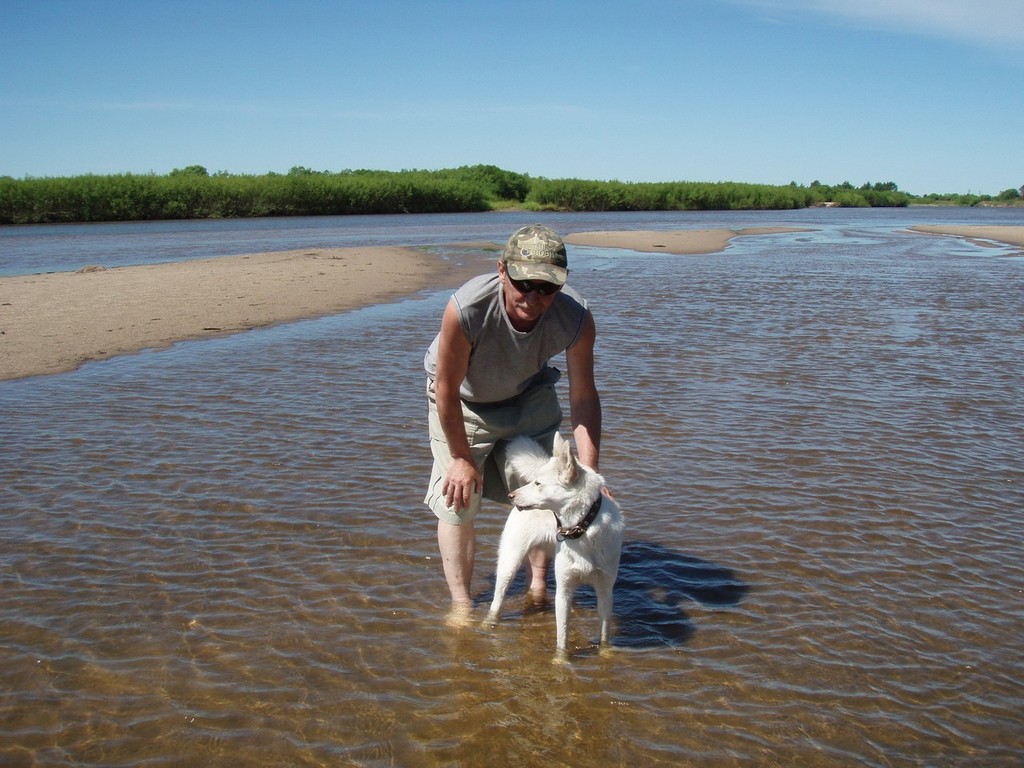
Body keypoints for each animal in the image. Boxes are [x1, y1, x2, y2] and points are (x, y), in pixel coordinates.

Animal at [485, 436, 622, 651]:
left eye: (538, 483)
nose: (511, 496)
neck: (582, 530)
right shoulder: (564, 588)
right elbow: (562, 639)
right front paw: (561, 658)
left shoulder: (605, 590)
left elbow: (604, 636)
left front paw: (605, 653)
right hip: (510, 562)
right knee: (497, 600)